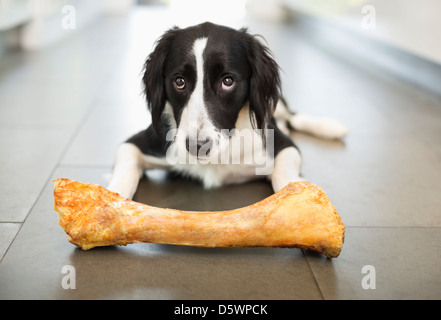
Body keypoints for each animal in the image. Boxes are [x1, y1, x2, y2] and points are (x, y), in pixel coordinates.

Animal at [107, 22, 348, 199]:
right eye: (179, 81)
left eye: (228, 81)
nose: (197, 146)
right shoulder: (138, 143)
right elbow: (125, 167)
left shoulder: (284, 145)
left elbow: (284, 172)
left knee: (292, 117)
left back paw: (330, 127)